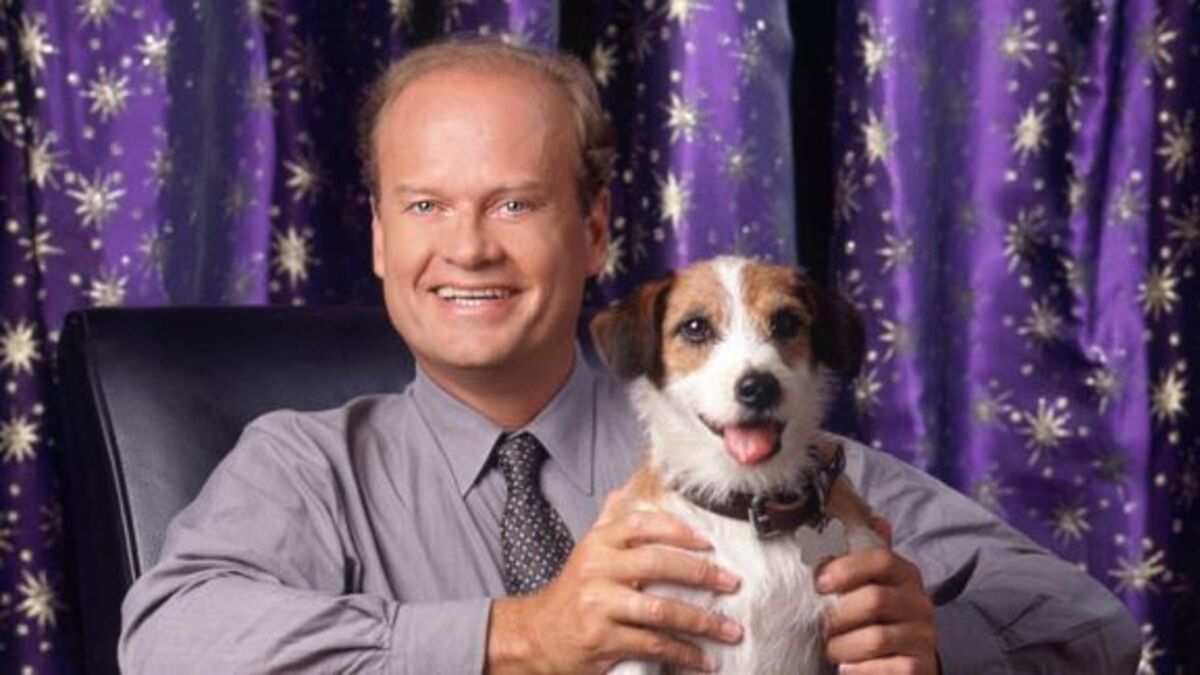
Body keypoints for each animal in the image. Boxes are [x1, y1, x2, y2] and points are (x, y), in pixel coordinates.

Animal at [591, 255, 880, 674]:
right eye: (695, 327)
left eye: (786, 323)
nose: (759, 387)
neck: (745, 500)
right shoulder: (641, 629)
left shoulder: (861, 628)